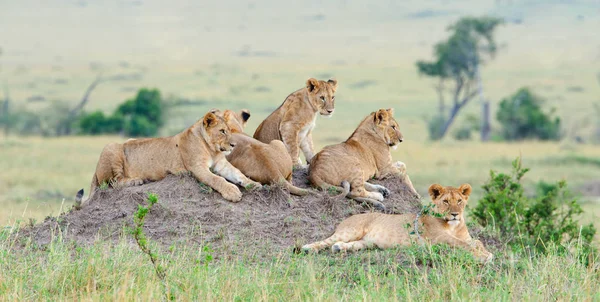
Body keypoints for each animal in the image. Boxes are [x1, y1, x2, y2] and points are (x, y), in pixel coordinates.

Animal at [75, 111, 260, 205]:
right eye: (222, 131)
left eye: (229, 130)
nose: (233, 145)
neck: (211, 149)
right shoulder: (197, 167)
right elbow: (217, 180)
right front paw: (232, 192)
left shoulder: (221, 164)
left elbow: (238, 174)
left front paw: (254, 184)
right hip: (111, 147)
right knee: (111, 183)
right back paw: (136, 181)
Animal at [302, 183, 494, 264]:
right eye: (446, 201)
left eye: (460, 201)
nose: (455, 214)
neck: (453, 226)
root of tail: (349, 217)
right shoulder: (438, 238)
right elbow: (463, 244)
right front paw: (483, 257)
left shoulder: (464, 237)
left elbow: (477, 241)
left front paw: (487, 253)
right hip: (350, 231)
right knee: (326, 241)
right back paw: (308, 248)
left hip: (366, 243)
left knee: (345, 244)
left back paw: (339, 248)